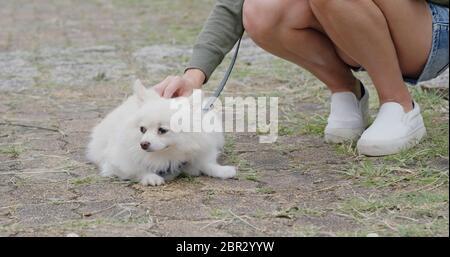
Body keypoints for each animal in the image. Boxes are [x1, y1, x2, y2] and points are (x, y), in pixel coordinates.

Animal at [85, 79, 237, 185]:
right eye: (142, 129)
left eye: (162, 130)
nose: (143, 144)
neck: (167, 154)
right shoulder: (116, 162)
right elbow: (137, 169)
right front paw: (150, 177)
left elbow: (207, 164)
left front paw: (222, 170)